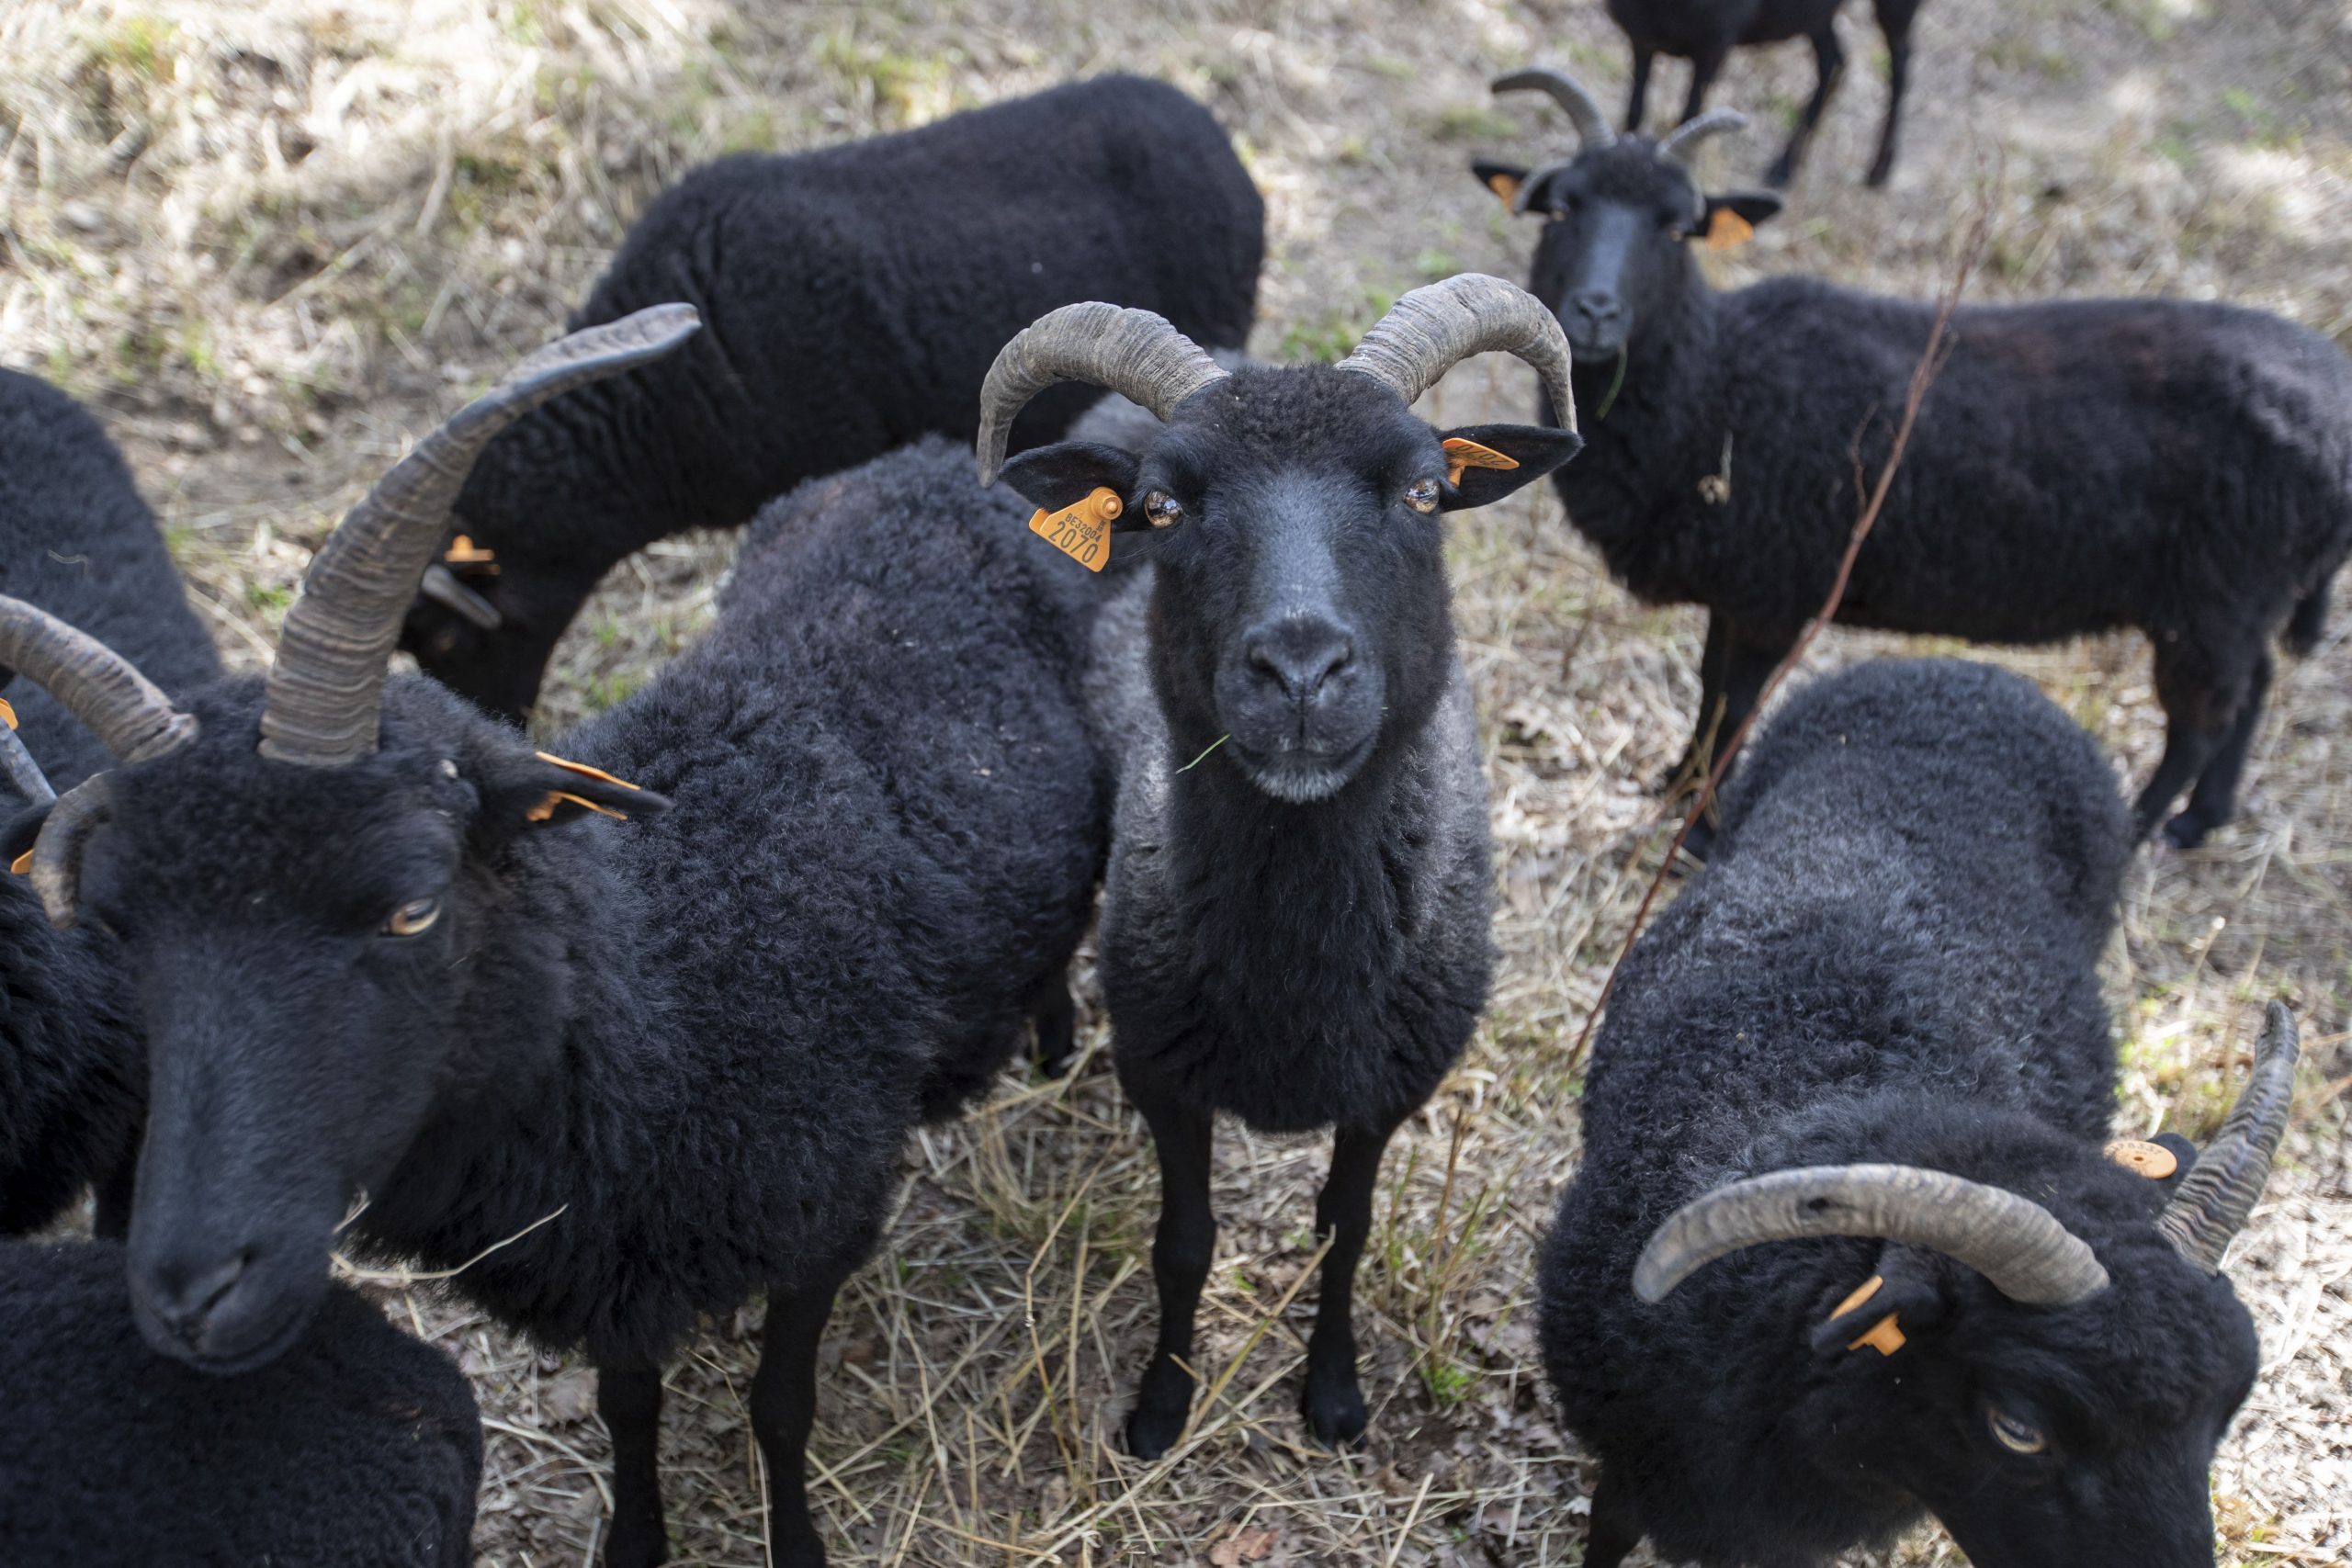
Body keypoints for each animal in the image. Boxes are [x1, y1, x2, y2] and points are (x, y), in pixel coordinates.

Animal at [974, 274, 1586, 1456]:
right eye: (1162, 509)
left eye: (1425, 493)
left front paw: (1333, 1396)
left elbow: (1343, 1231)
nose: (1300, 672)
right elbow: (1185, 1244)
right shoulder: (1162, 1072)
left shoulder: (1386, 1089)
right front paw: (1160, 1407)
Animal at [1472, 73, 2352, 848]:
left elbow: (1738, 701)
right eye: (1560, 207)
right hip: (2242, 598)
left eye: (1676, 226)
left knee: (2202, 718)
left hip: (2216, 595)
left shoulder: (1776, 589)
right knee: (2255, 687)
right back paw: (2204, 819)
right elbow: (1711, 693)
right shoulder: (1743, 581)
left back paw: (2143, 826)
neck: (1714, 382)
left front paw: (1698, 831)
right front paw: (1674, 787)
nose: (1595, 311)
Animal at [1582, 0, 1925, 186]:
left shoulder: (1713, 48)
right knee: (1834, 59)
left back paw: (1879, 170)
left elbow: (1687, 118)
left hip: (1894, 8)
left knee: (1901, 62)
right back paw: (1784, 167)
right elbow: (1635, 110)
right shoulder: (1641, 41)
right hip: (1813, 16)